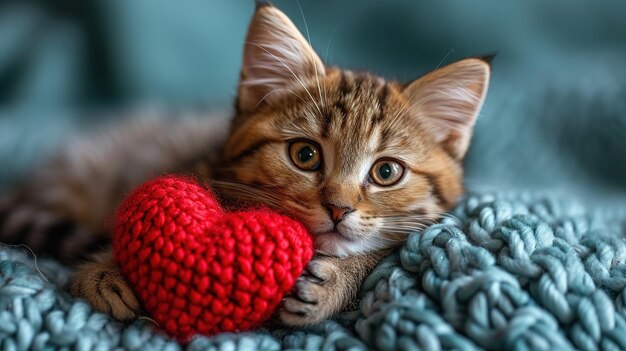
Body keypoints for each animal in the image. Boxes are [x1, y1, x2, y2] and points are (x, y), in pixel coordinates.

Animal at [0, 2, 488, 328]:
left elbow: (377, 252)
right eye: (305, 155)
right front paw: (104, 271)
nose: (338, 209)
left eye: (386, 172)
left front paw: (334, 282)